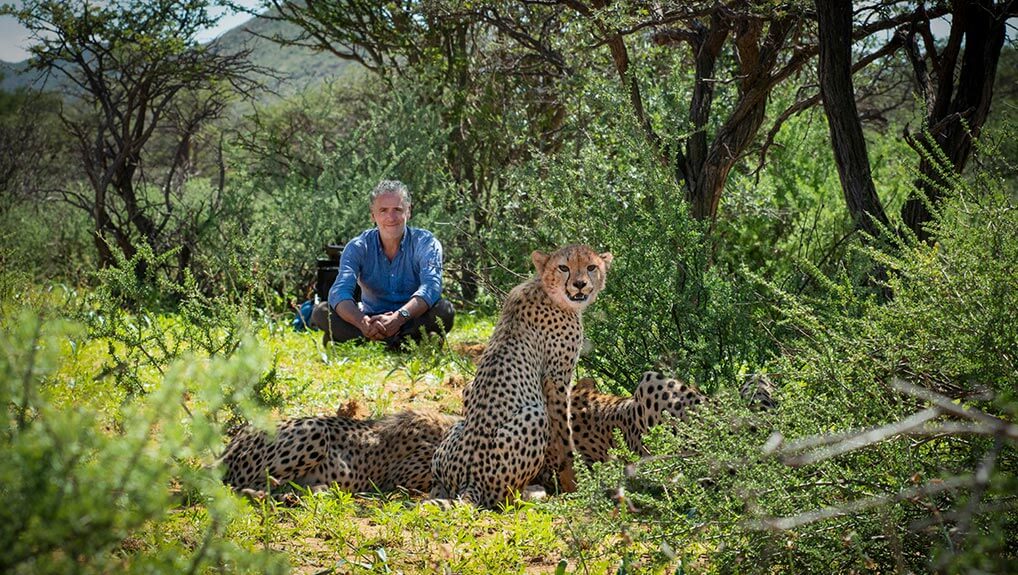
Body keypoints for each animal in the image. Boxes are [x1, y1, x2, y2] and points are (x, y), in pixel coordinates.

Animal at [429, 244, 612, 508]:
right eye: (563, 267)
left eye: (591, 267)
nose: (579, 284)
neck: (546, 288)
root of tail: (470, 480)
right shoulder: (556, 378)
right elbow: (564, 435)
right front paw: (573, 482)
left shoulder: (469, 389)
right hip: (535, 415)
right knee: (504, 498)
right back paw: (532, 492)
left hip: (455, 430)